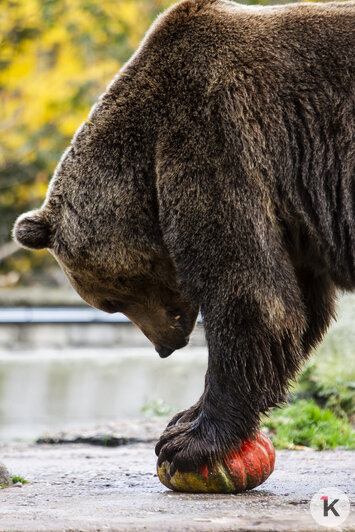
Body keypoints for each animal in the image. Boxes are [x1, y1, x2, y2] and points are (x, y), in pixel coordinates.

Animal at [12, 0, 354, 474]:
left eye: (110, 301)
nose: (165, 347)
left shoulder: (214, 137)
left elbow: (250, 297)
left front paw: (189, 441)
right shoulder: (288, 217)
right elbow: (298, 307)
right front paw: (182, 418)